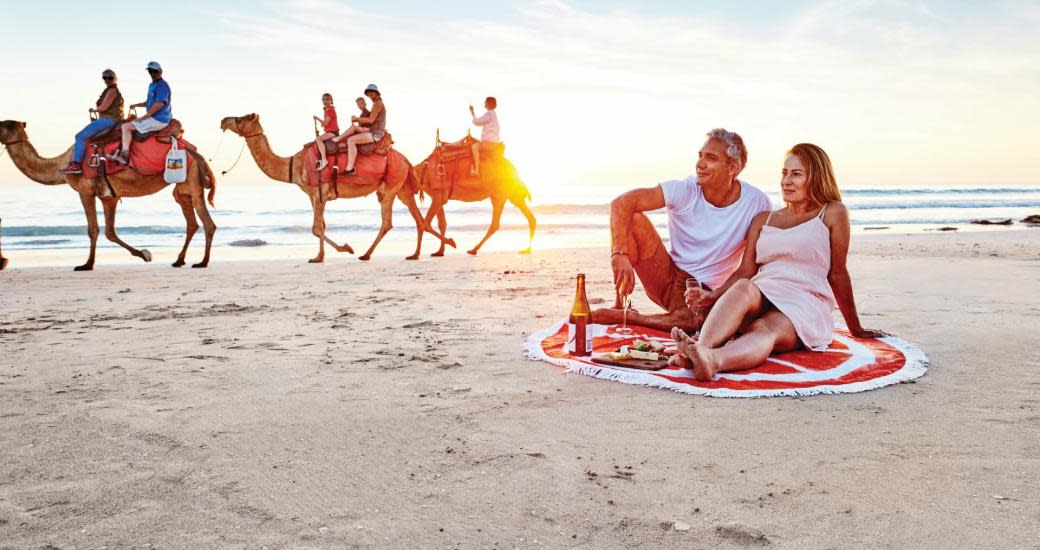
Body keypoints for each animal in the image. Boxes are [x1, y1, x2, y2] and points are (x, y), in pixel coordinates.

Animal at [0, 120, 216, 270]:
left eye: (2, 124)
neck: (61, 164)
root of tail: (194, 152)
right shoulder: (108, 197)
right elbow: (110, 232)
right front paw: (145, 254)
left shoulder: (85, 191)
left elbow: (93, 229)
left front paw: (86, 264)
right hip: (182, 189)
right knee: (191, 222)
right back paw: (179, 260)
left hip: (191, 181)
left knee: (208, 223)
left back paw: (202, 262)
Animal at [219, 111, 451, 262]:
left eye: (241, 118)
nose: (223, 120)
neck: (294, 165)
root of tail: (406, 160)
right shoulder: (314, 195)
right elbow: (321, 226)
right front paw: (319, 257)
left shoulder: (317, 191)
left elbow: (315, 227)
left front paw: (345, 248)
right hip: (400, 186)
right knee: (418, 218)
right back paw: (427, 250)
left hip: (393, 184)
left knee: (388, 222)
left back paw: (366, 254)